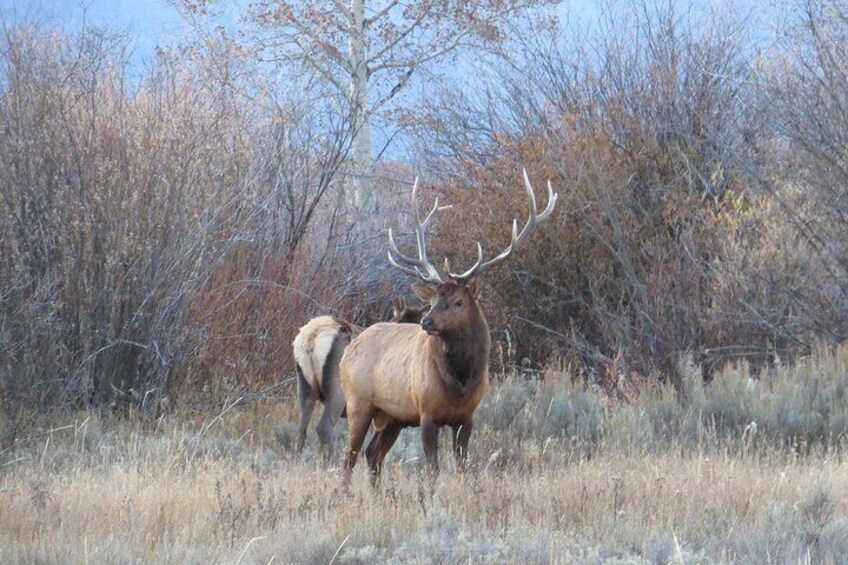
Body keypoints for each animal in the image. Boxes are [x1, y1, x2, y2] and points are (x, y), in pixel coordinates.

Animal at [342, 170, 560, 482]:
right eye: (433, 299)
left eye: (458, 302)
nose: (426, 321)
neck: (460, 383)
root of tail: (349, 349)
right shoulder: (426, 413)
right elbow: (432, 468)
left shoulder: (467, 417)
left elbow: (463, 465)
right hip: (357, 402)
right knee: (349, 458)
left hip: (393, 417)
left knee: (373, 455)